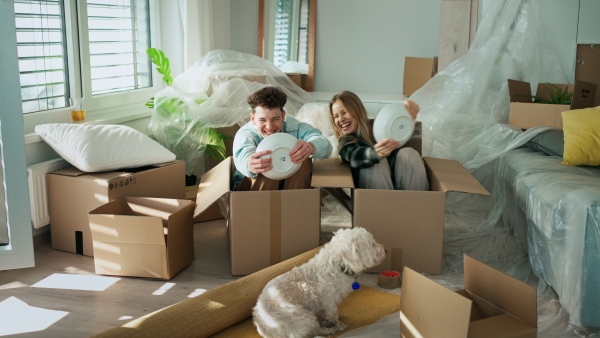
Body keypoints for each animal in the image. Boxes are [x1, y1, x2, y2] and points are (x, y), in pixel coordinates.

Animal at [252, 227, 384, 338]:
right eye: (372, 243)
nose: (386, 251)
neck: (337, 266)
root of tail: (263, 327)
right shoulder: (329, 301)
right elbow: (333, 315)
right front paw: (338, 324)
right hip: (302, 317)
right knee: (316, 331)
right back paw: (331, 329)